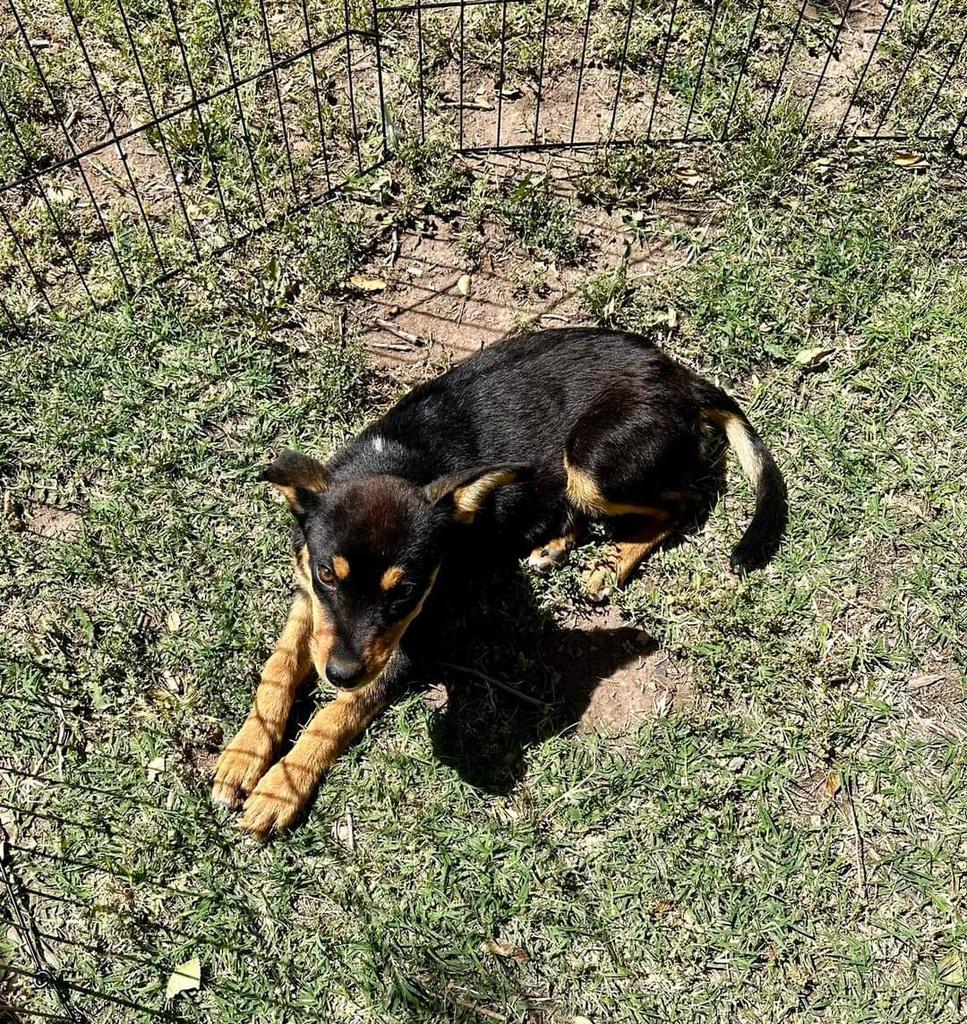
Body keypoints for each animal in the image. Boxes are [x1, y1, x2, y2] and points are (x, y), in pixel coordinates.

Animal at [211, 323, 786, 835]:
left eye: (407, 591)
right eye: (329, 573)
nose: (341, 673)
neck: (398, 464)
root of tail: (681, 377)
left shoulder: (413, 641)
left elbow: (334, 715)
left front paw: (279, 789)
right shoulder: (310, 597)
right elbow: (279, 667)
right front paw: (244, 756)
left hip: (592, 461)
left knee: (685, 500)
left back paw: (611, 564)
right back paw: (554, 545)